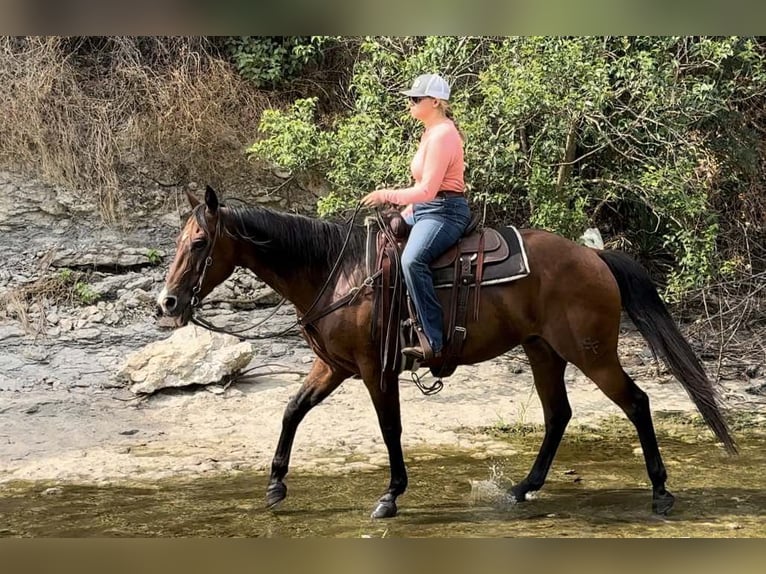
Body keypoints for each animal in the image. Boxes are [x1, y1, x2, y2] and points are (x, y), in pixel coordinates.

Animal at [156, 185, 736, 519]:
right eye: (180, 240)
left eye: (200, 243)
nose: (167, 302)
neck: (336, 272)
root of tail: (594, 257)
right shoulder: (333, 366)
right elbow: (292, 410)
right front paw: (276, 486)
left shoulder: (374, 368)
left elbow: (389, 428)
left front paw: (391, 495)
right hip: (542, 351)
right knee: (558, 415)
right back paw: (522, 489)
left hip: (591, 353)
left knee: (636, 403)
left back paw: (660, 493)